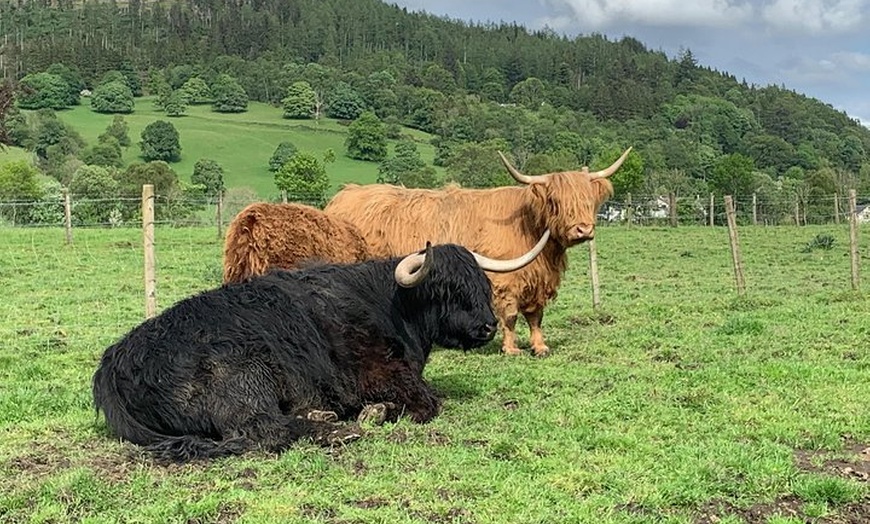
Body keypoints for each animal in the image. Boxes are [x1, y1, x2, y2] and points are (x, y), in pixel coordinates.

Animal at [92, 231, 548, 460]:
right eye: (446, 289)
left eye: (480, 284)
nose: (487, 326)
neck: (390, 305)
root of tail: (115, 361)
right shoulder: (382, 373)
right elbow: (427, 403)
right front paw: (374, 412)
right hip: (246, 378)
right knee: (264, 432)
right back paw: (337, 429)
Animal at [324, 147, 632, 356]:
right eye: (556, 201)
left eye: (588, 200)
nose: (583, 230)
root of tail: (343, 196)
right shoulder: (507, 281)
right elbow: (510, 315)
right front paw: (511, 349)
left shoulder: (536, 279)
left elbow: (536, 316)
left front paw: (540, 346)